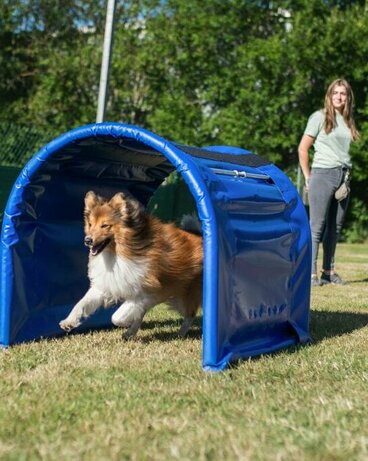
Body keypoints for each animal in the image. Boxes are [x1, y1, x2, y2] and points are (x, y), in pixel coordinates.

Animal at [60, 190, 204, 338]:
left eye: (105, 225)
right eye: (90, 224)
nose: (87, 240)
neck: (119, 252)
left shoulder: (149, 291)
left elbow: (116, 317)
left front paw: (125, 323)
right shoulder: (105, 285)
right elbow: (81, 304)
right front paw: (68, 322)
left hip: (185, 293)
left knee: (190, 315)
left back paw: (180, 333)